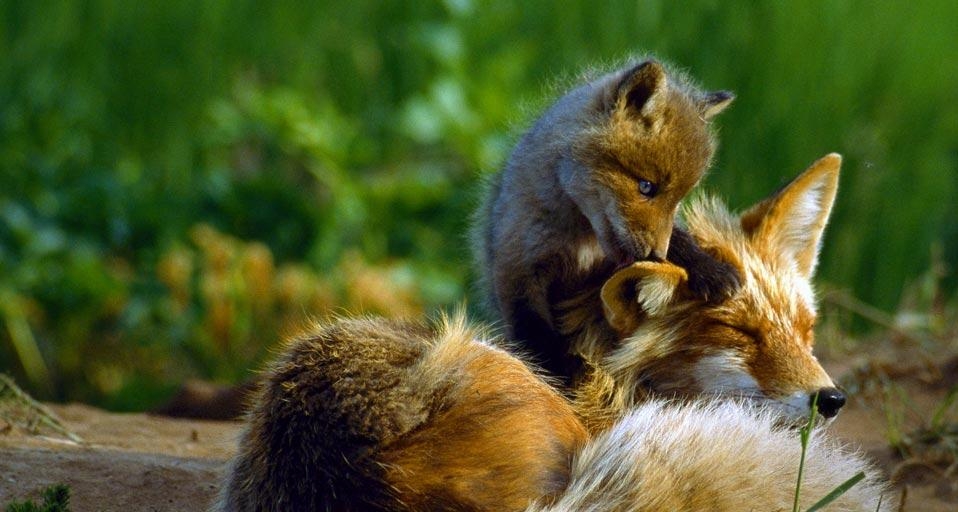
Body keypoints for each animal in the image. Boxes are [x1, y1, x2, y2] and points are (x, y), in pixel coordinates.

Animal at [472, 57, 739, 382]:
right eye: (646, 187)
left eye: (677, 201)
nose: (656, 255)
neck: (582, 240)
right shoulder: (518, 273)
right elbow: (537, 336)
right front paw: (563, 376)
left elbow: (679, 239)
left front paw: (710, 269)